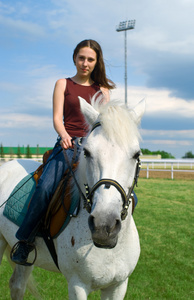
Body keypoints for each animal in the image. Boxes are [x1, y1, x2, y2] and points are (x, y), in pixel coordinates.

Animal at [0, 97, 145, 298]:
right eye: (87, 152)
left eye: (136, 154)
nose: (104, 226)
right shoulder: (77, 285)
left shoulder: (118, 286)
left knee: (17, 285)